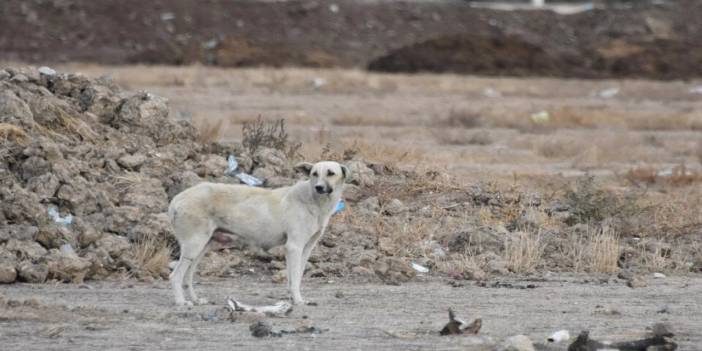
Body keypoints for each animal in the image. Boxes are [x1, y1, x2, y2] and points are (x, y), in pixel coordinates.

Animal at [168, 161, 350, 306]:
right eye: (314, 174)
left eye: (330, 173)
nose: (318, 187)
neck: (314, 201)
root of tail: (178, 198)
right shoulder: (293, 247)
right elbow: (294, 278)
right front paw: (298, 301)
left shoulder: (305, 249)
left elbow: (295, 277)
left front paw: (293, 299)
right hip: (194, 245)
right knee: (175, 276)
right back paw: (181, 302)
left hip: (201, 247)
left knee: (187, 277)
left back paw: (196, 300)